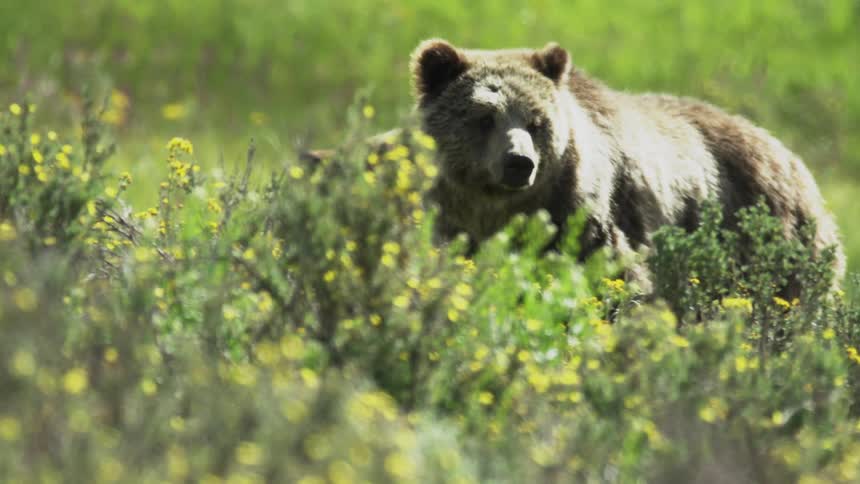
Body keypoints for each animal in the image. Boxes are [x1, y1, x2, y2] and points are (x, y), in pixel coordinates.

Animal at [410, 39, 845, 292]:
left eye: (536, 122)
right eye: (485, 117)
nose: (520, 162)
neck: (500, 208)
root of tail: (793, 157)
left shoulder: (586, 217)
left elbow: (616, 278)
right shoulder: (456, 222)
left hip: (769, 232)